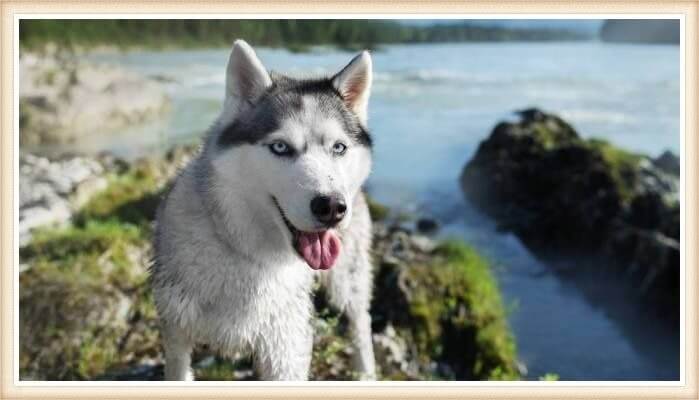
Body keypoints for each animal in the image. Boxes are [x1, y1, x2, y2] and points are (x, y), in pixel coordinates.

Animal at [150, 40, 374, 382]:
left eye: (339, 148)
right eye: (280, 147)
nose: (332, 207)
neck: (247, 253)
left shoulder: (286, 344)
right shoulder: (176, 331)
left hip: (345, 280)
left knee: (360, 318)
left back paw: (366, 371)